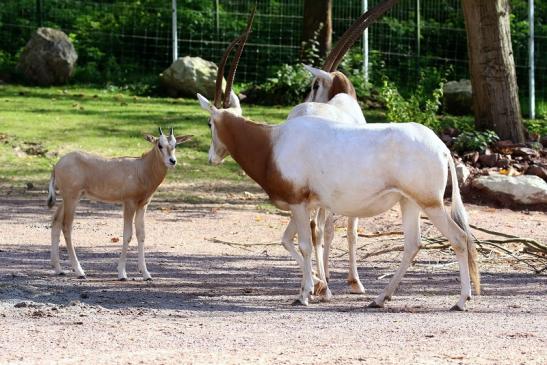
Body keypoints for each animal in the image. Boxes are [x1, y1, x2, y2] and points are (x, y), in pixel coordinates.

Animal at [47, 128, 193, 278]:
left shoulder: (143, 205)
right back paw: (79, 271)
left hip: (68, 198)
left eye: (175, 145)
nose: (172, 161)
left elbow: (141, 234)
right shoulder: (129, 203)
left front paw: (146, 273)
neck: (141, 168)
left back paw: (59, 269)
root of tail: (57, 165)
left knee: (56, 221)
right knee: (66, 226)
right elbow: (127, 235)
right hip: (72, 198)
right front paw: (122, 273)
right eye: (160, 145)